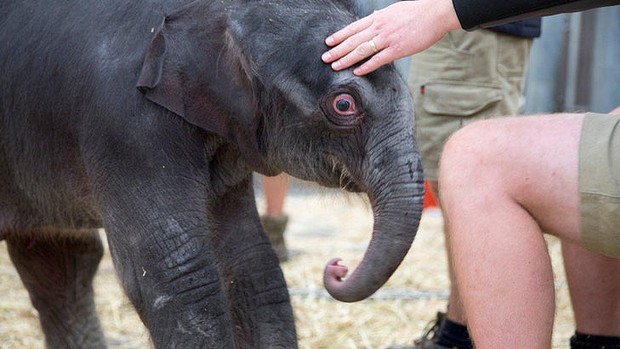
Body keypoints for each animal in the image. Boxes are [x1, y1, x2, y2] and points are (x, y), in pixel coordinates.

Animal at [0, 0, 424, 346]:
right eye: (343, 104)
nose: (336, 267)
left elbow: (252, 264)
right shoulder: (125, 124)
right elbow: (179, 275)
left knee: (59, 265)